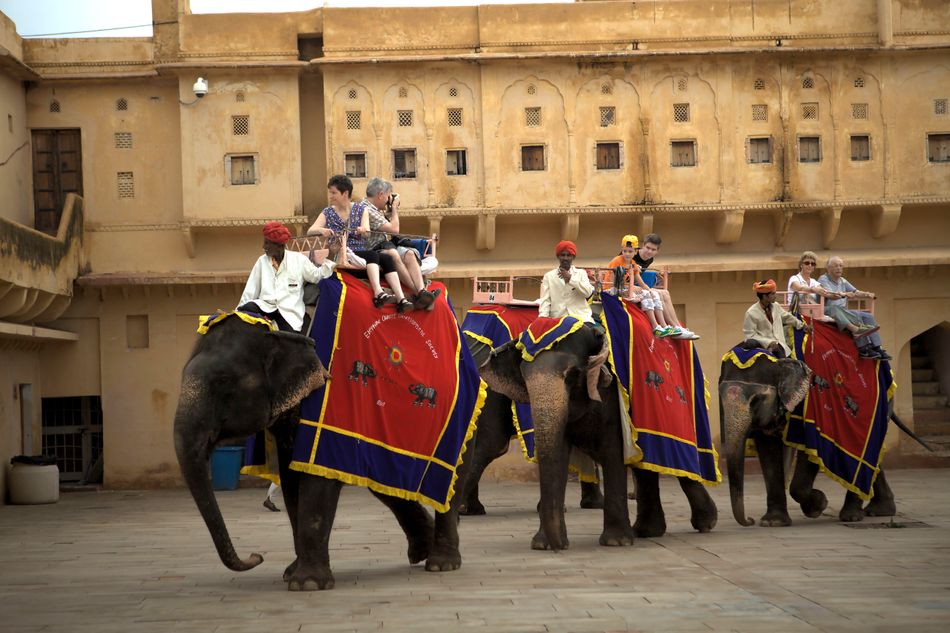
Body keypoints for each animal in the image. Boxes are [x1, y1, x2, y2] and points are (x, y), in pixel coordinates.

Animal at [173, 316, 467, 591]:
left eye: (223, 381)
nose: (256, 556)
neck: (278, 332)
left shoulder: (328, 405)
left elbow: (317, 480)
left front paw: (307, 584)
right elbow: (291, 480)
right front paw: (291, 573)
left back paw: (442, 564)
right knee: (385, 483)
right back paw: (423, 551)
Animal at [476, 325, 717, 551]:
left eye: (572, 375)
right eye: (524, 378)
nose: (558, 547)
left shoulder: (613, 396)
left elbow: (613, 451)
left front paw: (616, 542)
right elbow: (558, 454)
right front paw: (542, 544)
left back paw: (705, 524)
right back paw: (647, 532)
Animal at [719, 354, 898, 528]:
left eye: (755, 400)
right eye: (720, 398)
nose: (750, 520)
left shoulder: (810, 405)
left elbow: (810, 454)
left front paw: (818, 506)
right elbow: (769, 451)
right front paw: (773, 522)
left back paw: (851, 516)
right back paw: (879, 511)